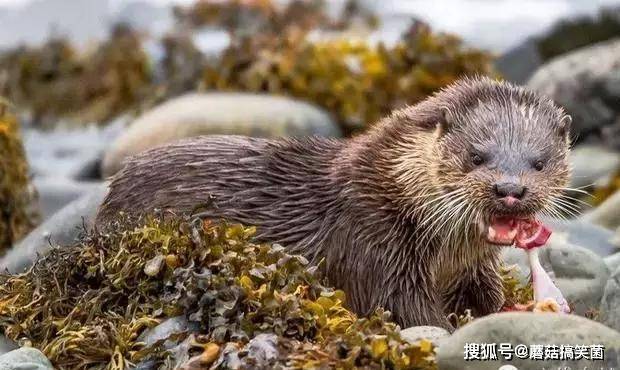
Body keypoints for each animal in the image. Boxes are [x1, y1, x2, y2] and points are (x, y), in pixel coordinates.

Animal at [97, 77, 572, 330]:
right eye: (477, 156)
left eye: (539, 162)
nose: (510, 188)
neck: (391, 193)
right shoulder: (371, 248)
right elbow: (410, 314)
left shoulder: (472, 268)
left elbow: (486, 297)